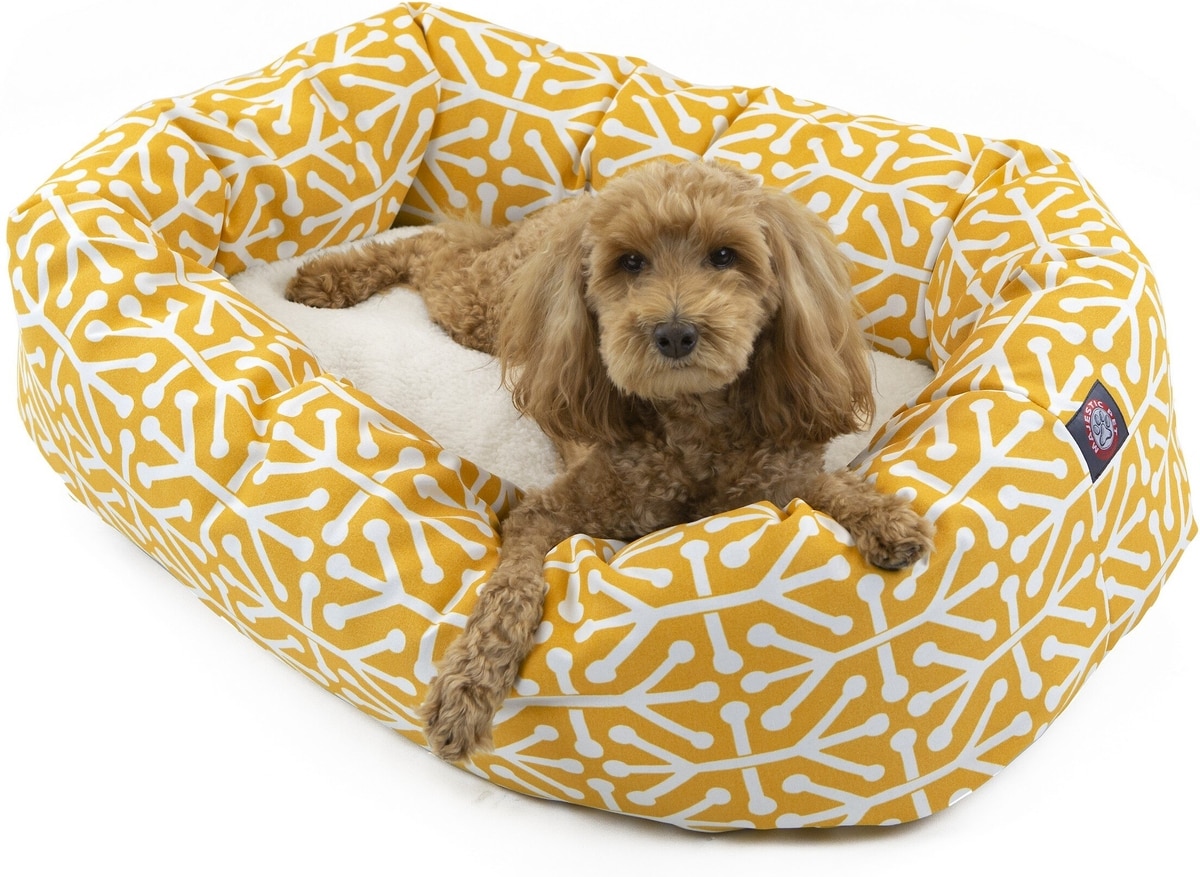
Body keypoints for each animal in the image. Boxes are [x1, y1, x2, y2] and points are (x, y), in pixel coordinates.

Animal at [285, 160, 934, 762]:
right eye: (630, 263)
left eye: (725, 255)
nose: (674, 334)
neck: (693, 424)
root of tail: (567, 205)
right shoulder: (543, 513)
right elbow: (509, 593)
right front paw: (468, 686)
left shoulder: (774, 476)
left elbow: (829, 485)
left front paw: (886, 520)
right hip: (480, 309)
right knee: (432, 247)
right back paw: (325, 278)